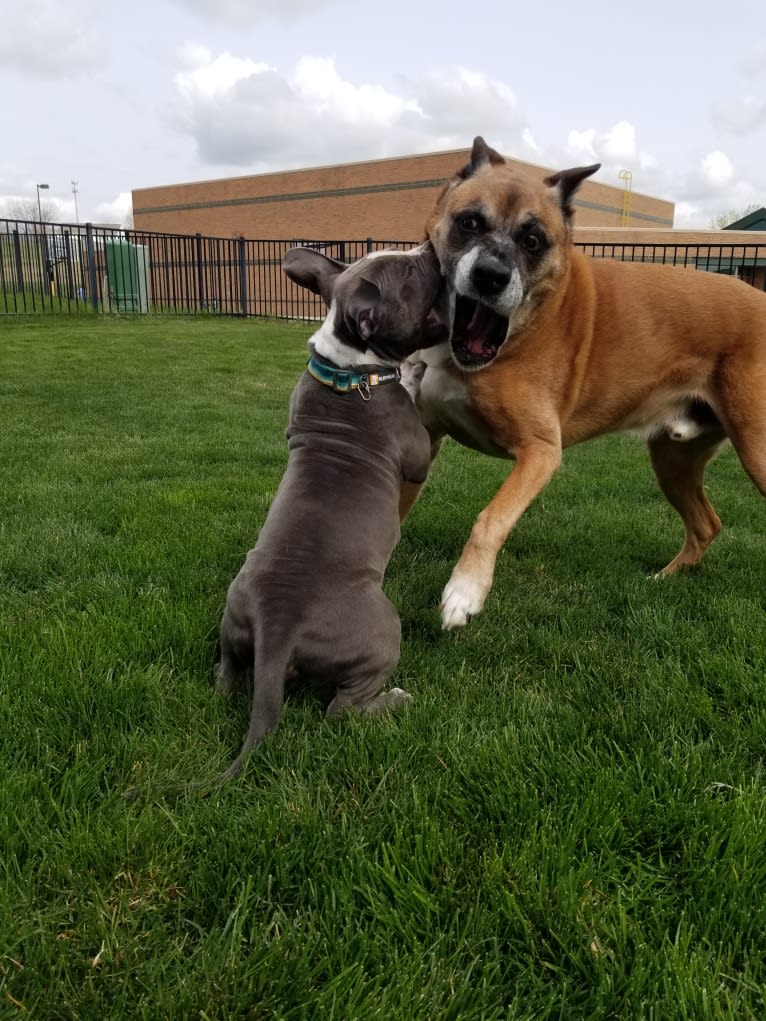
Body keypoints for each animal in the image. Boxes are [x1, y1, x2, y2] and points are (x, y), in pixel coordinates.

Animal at [211, 242, 449, 784]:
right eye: (409, 272)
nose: (429, 246)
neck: (350, 368)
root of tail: (279, 630)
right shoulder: (415, 452)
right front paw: (416, 370)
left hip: (234, 622)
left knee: (228, 677)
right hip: (383, 633)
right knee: (341, 711)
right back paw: (394, 700)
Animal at [404, 135, 763, 628]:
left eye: (533, 240)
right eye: (469, 222)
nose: (490, 276)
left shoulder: (540, 452)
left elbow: (491, 518)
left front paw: (465, 592)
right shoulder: (425, 434)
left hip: (754, 449)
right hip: (674, 459)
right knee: (707, 524)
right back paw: (666, 578)